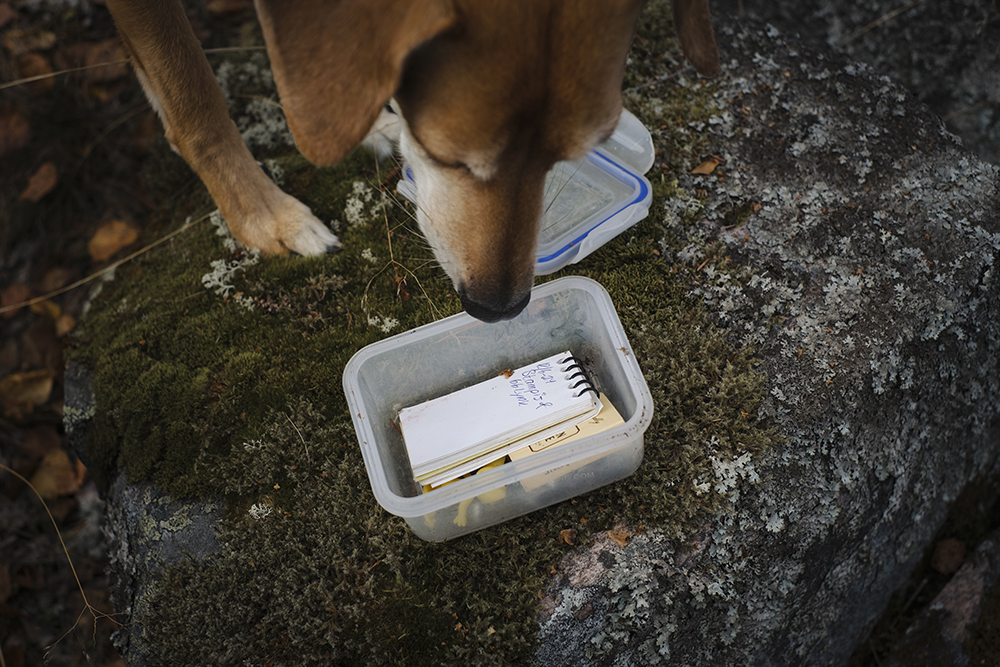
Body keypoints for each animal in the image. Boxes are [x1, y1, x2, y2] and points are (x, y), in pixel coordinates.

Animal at [107, 0, 720, 324]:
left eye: (566, 157)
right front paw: (264, 217)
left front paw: (372, 121)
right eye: (450, 157)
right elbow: (194, 97)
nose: (498, 309)